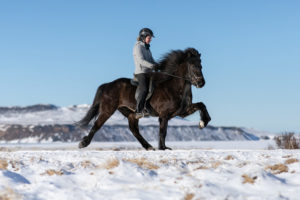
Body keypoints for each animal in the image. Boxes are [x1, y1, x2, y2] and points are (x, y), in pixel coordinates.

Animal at [77, 47, 211, 150]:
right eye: (193, 65)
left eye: (201, 65)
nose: (201, 83)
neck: (173, 86)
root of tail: (107, 85)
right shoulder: (164, 115)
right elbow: (163, 131)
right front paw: (163, 148)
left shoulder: (181, 112)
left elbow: (201, 105)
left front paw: (203, 122)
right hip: (107, 110)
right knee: (97, 125)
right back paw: (83, 143)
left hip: (130, 113)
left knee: (134, 130)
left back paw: (149, 147)